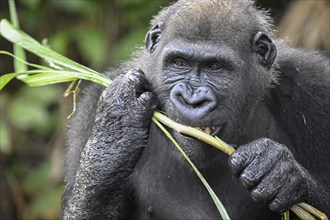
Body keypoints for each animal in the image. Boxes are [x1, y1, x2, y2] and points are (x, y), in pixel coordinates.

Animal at [62, 0, 330, 219]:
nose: (192, 99)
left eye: (215, 67)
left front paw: (280, 172)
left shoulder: (315, 85)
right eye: (179, 62)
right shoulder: (91, 110)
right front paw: (117, 127)